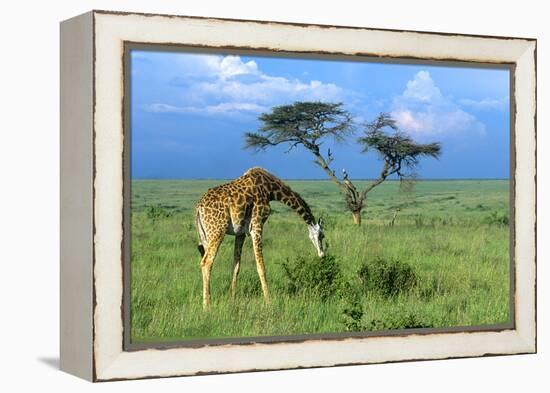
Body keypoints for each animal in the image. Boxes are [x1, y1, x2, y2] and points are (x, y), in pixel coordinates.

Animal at [196, 165, 326, 306]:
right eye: (322, 236)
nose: (322, 254)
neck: (270, 189)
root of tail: (198, 208)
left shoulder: (240, 232)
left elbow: (236, 266)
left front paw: (232, 298)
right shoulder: (257, 225)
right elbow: (261, 267)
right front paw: (269, 301)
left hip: (206, 235)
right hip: (217, 231)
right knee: (206, 262)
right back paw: (207, 305)